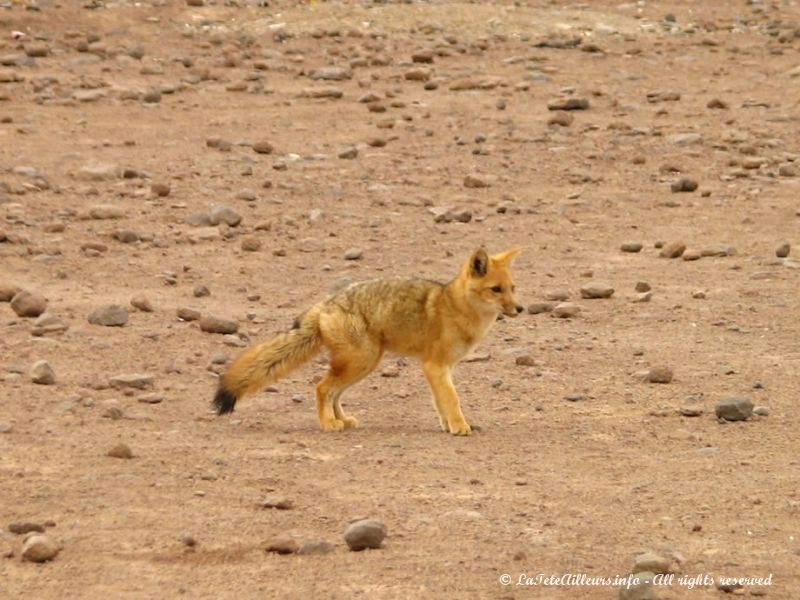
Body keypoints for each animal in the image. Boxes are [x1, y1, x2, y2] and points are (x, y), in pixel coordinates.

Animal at [212, 246, 524, 434]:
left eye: (513, 288)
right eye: (496, 290)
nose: (521, 308)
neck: (457, 307)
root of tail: (324, 305)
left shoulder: (440, 368)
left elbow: (441, 401)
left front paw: (449, 426)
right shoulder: (435, 366)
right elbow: (452, 399)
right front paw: (460, 426)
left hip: (365, 364)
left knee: (334, 392)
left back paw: (341, 419)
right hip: (361, 362)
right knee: (322, 388)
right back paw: (329, 423)